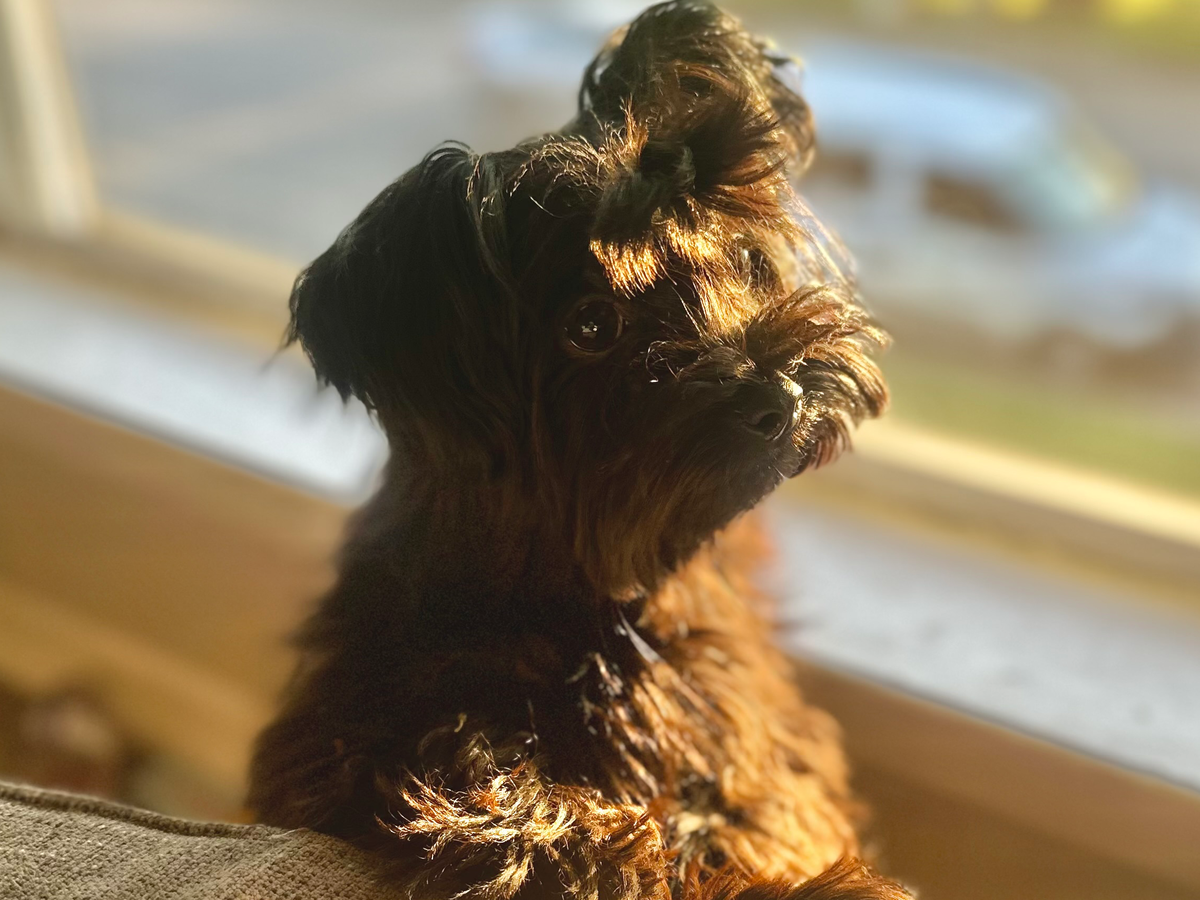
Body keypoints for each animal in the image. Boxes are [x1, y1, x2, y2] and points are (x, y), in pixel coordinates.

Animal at [249, 3, 906, 899]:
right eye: (592, 326)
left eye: (744, 262)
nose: (783, 396)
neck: (581, 593)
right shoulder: (349, 737)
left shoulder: (764, 744)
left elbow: (748, 816)